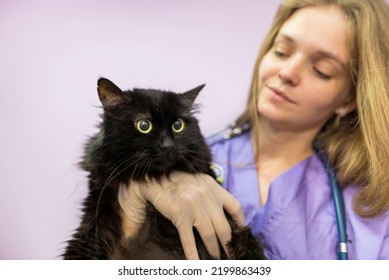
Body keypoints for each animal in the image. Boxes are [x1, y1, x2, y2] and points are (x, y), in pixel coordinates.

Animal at [63, 77, 266, 260]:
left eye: (178, 125)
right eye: (144, 125)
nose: (168, 146)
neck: (155, 176)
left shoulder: (228, 220)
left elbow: (242, 235)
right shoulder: (97, 208)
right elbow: (88, 242)